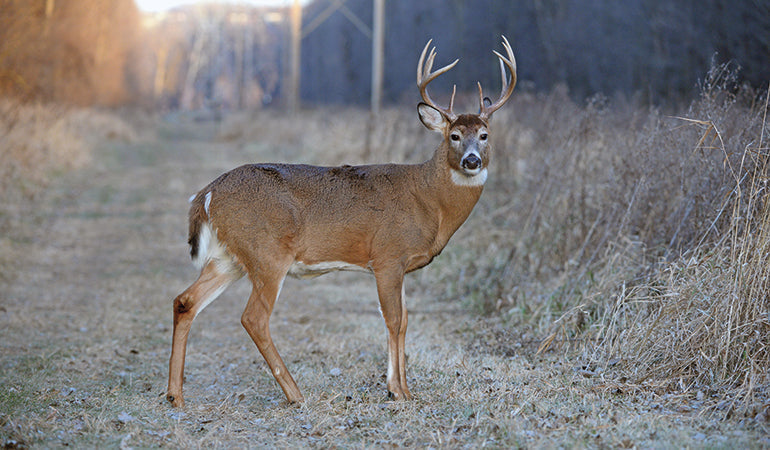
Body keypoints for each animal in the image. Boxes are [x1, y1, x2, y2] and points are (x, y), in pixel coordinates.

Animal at [166, 36, 516, 407]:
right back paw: (295, 394)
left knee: (185, 301)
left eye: (484, 135)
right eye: (454, 135)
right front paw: (397, 390)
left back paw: (175, 395)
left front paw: (404, 389)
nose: (471, 161)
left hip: (228, 257)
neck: (428, 199)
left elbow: (405, 320)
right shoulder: (388, 256)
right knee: (254, 318)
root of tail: (206, 194)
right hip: (267, 252)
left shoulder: (401, 265)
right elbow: (394, 320)